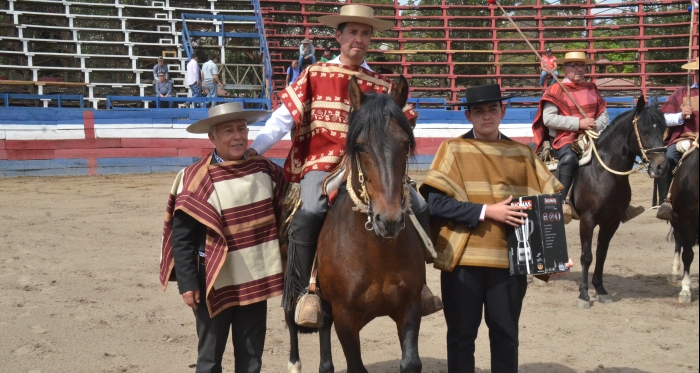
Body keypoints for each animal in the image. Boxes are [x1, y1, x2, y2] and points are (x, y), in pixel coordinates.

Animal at [568, 96, 668, 308]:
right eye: (645, 131)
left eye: (664, 129)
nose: (662, 166)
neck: (603, 172)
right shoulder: (587, 220)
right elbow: (586, 256)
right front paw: (584, 294)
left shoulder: (611, 221)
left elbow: (601, 254)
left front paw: (600, 289)